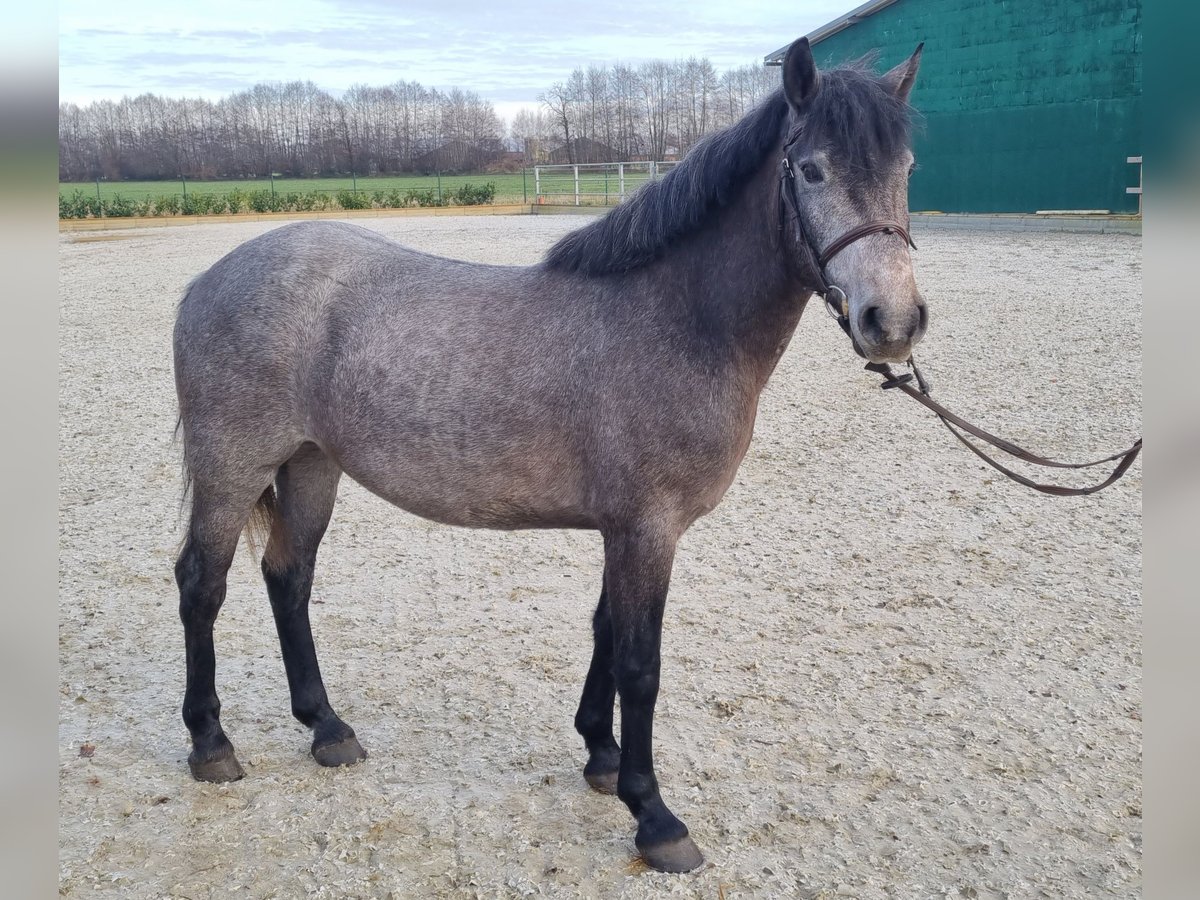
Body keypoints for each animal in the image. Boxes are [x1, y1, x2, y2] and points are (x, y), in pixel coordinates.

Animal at [171, 37, 926, 873]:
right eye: (813, 170)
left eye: (906, 168)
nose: (892, 321)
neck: (678, 319)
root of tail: (211, 278)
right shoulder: (648, 529)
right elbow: (640, 664)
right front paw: (654, 815)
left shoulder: (626, 527)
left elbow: (605, 631)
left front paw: (600, 755)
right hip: (233, 466)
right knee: (202, 586)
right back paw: (211, 743)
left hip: (310, 465)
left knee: (289, 577)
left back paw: (328, 729)